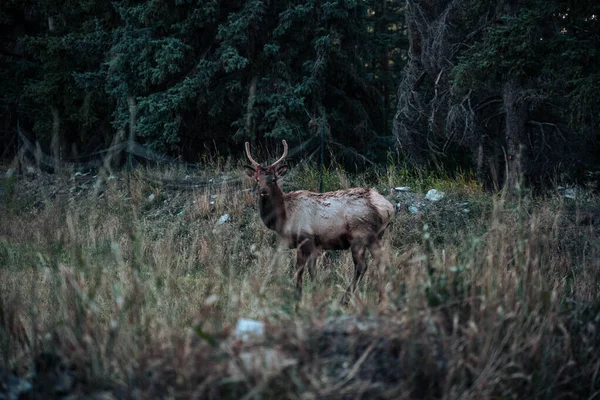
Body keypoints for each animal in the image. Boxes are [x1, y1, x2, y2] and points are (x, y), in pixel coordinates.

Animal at [244, 140, 394, 304]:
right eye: (257, 179)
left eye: (273, 179)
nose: (263, 191)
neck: (284, 217)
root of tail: (388, 208)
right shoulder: (308, 244)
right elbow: (304, 268)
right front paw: (301, 294)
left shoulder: (307, 238)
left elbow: (306, 269)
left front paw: (309, 294)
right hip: (376, 237)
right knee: (382, 263)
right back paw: (381, 299)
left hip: (360, 235)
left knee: (361, 266)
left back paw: (345, 299)